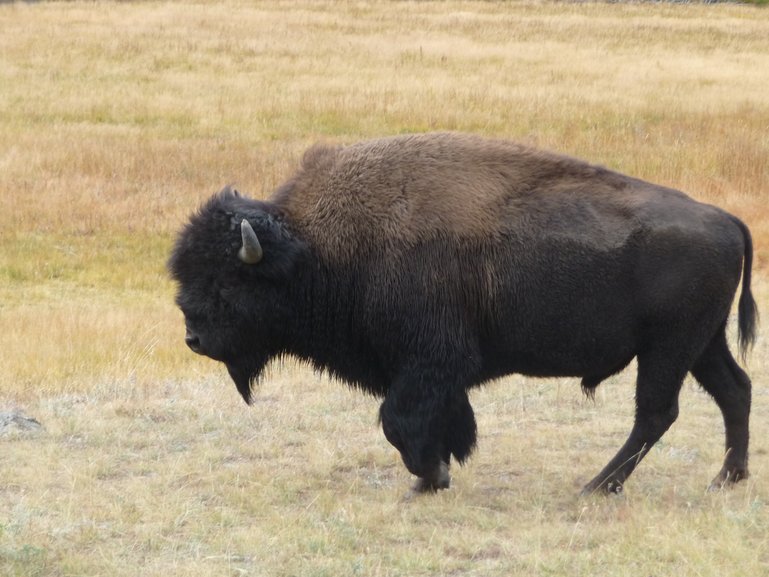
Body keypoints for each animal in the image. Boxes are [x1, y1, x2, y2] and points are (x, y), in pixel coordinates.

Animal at [170, 133, 756, 492]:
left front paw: (430, 477)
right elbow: (442, 419)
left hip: (668, 348)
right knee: (735, 390)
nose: (194, 339)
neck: (314, 248)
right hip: (702, 343)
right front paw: (437, 472)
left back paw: (597, 486)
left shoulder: (429, 363)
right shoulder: (431, 372)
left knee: (656, 413)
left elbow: (398, 420)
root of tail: (726, 218)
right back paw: (727, 478)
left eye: (226, 280)